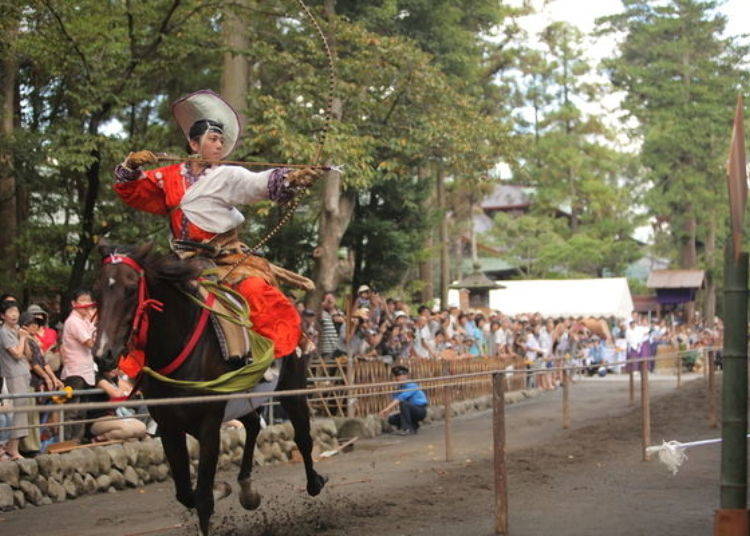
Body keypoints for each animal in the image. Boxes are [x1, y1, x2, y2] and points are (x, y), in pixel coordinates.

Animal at [92, 244, 326, 536]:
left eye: (131, 289)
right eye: (96, 291)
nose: (104, 354)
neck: (178, 344)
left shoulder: (209, 424)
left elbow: (203, 498)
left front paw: (215, 491)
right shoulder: (169, 426)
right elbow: (186, 493)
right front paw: (221, 487)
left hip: (291, 384)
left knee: (302, 436)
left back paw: (314, 482)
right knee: (253, 424)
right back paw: (247, 490)